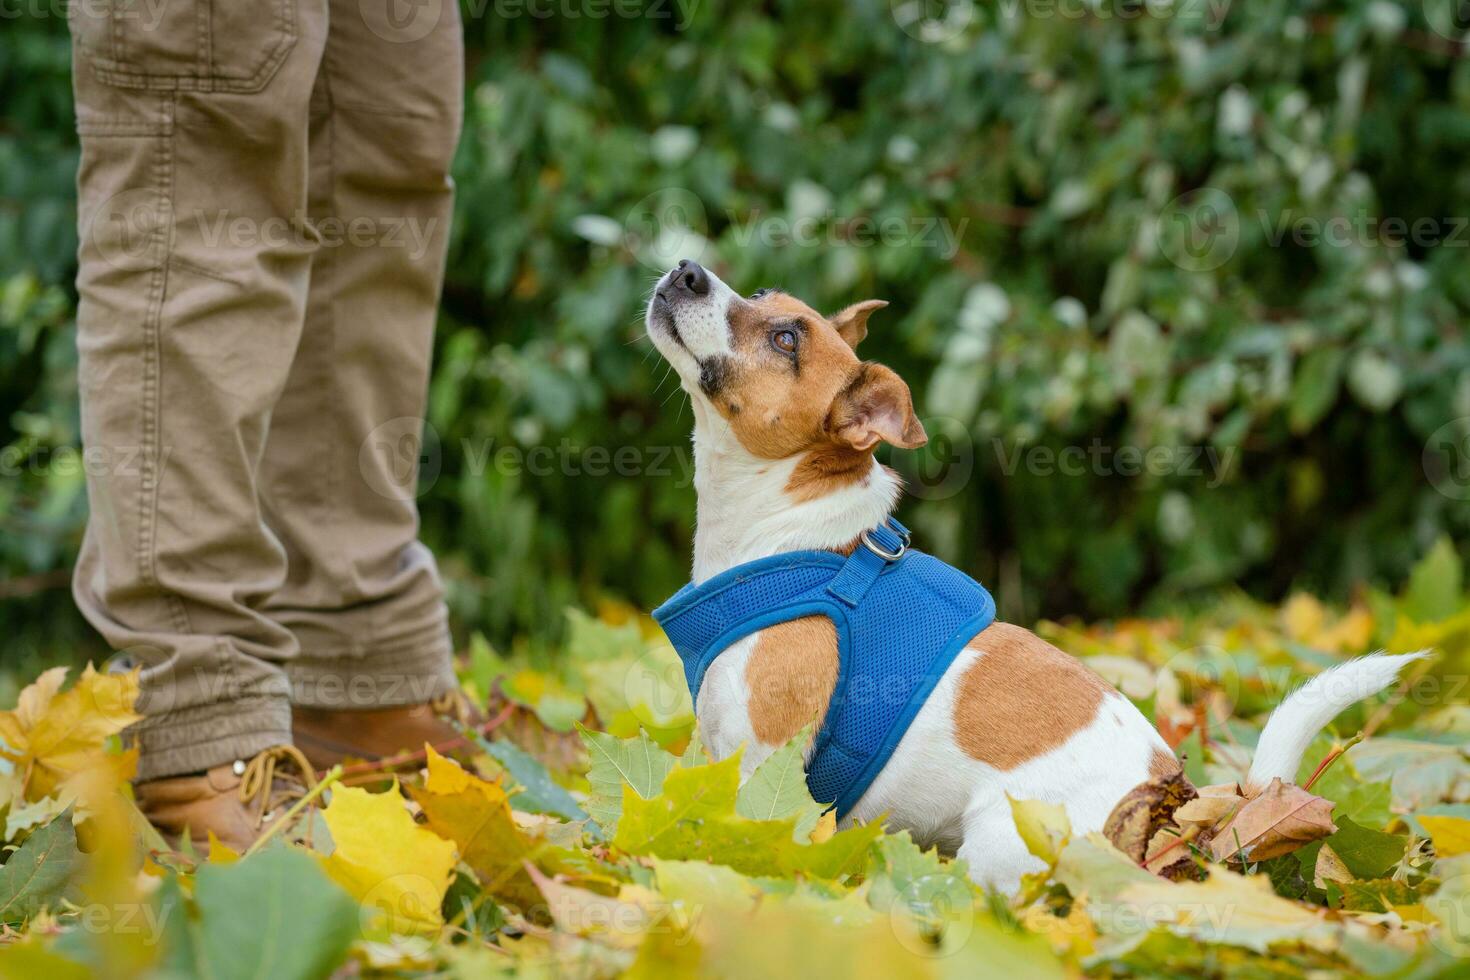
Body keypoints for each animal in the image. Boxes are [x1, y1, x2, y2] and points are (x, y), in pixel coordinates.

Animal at [643, 257, 1422, 893]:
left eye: (786, 340)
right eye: (758, 293)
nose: (687, 269)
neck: (798, 539)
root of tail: (1183, 816)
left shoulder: (763, 768)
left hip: (1001, 841)